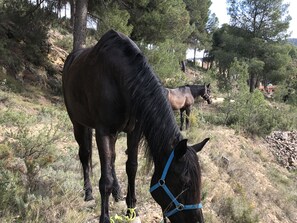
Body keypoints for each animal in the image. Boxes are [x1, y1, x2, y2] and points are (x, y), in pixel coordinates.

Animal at [61, 30, 208, 223]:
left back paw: (117, 193)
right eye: (184, 183)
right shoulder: (103, 131)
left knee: (112, 159)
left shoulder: (134, 131)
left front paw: (131, 209)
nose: (198, 220)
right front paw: (105, 217)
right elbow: (105, 179)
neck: (121, 79)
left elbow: (131, 167)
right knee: (85, 155)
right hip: (78, 123)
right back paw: (88, 193)